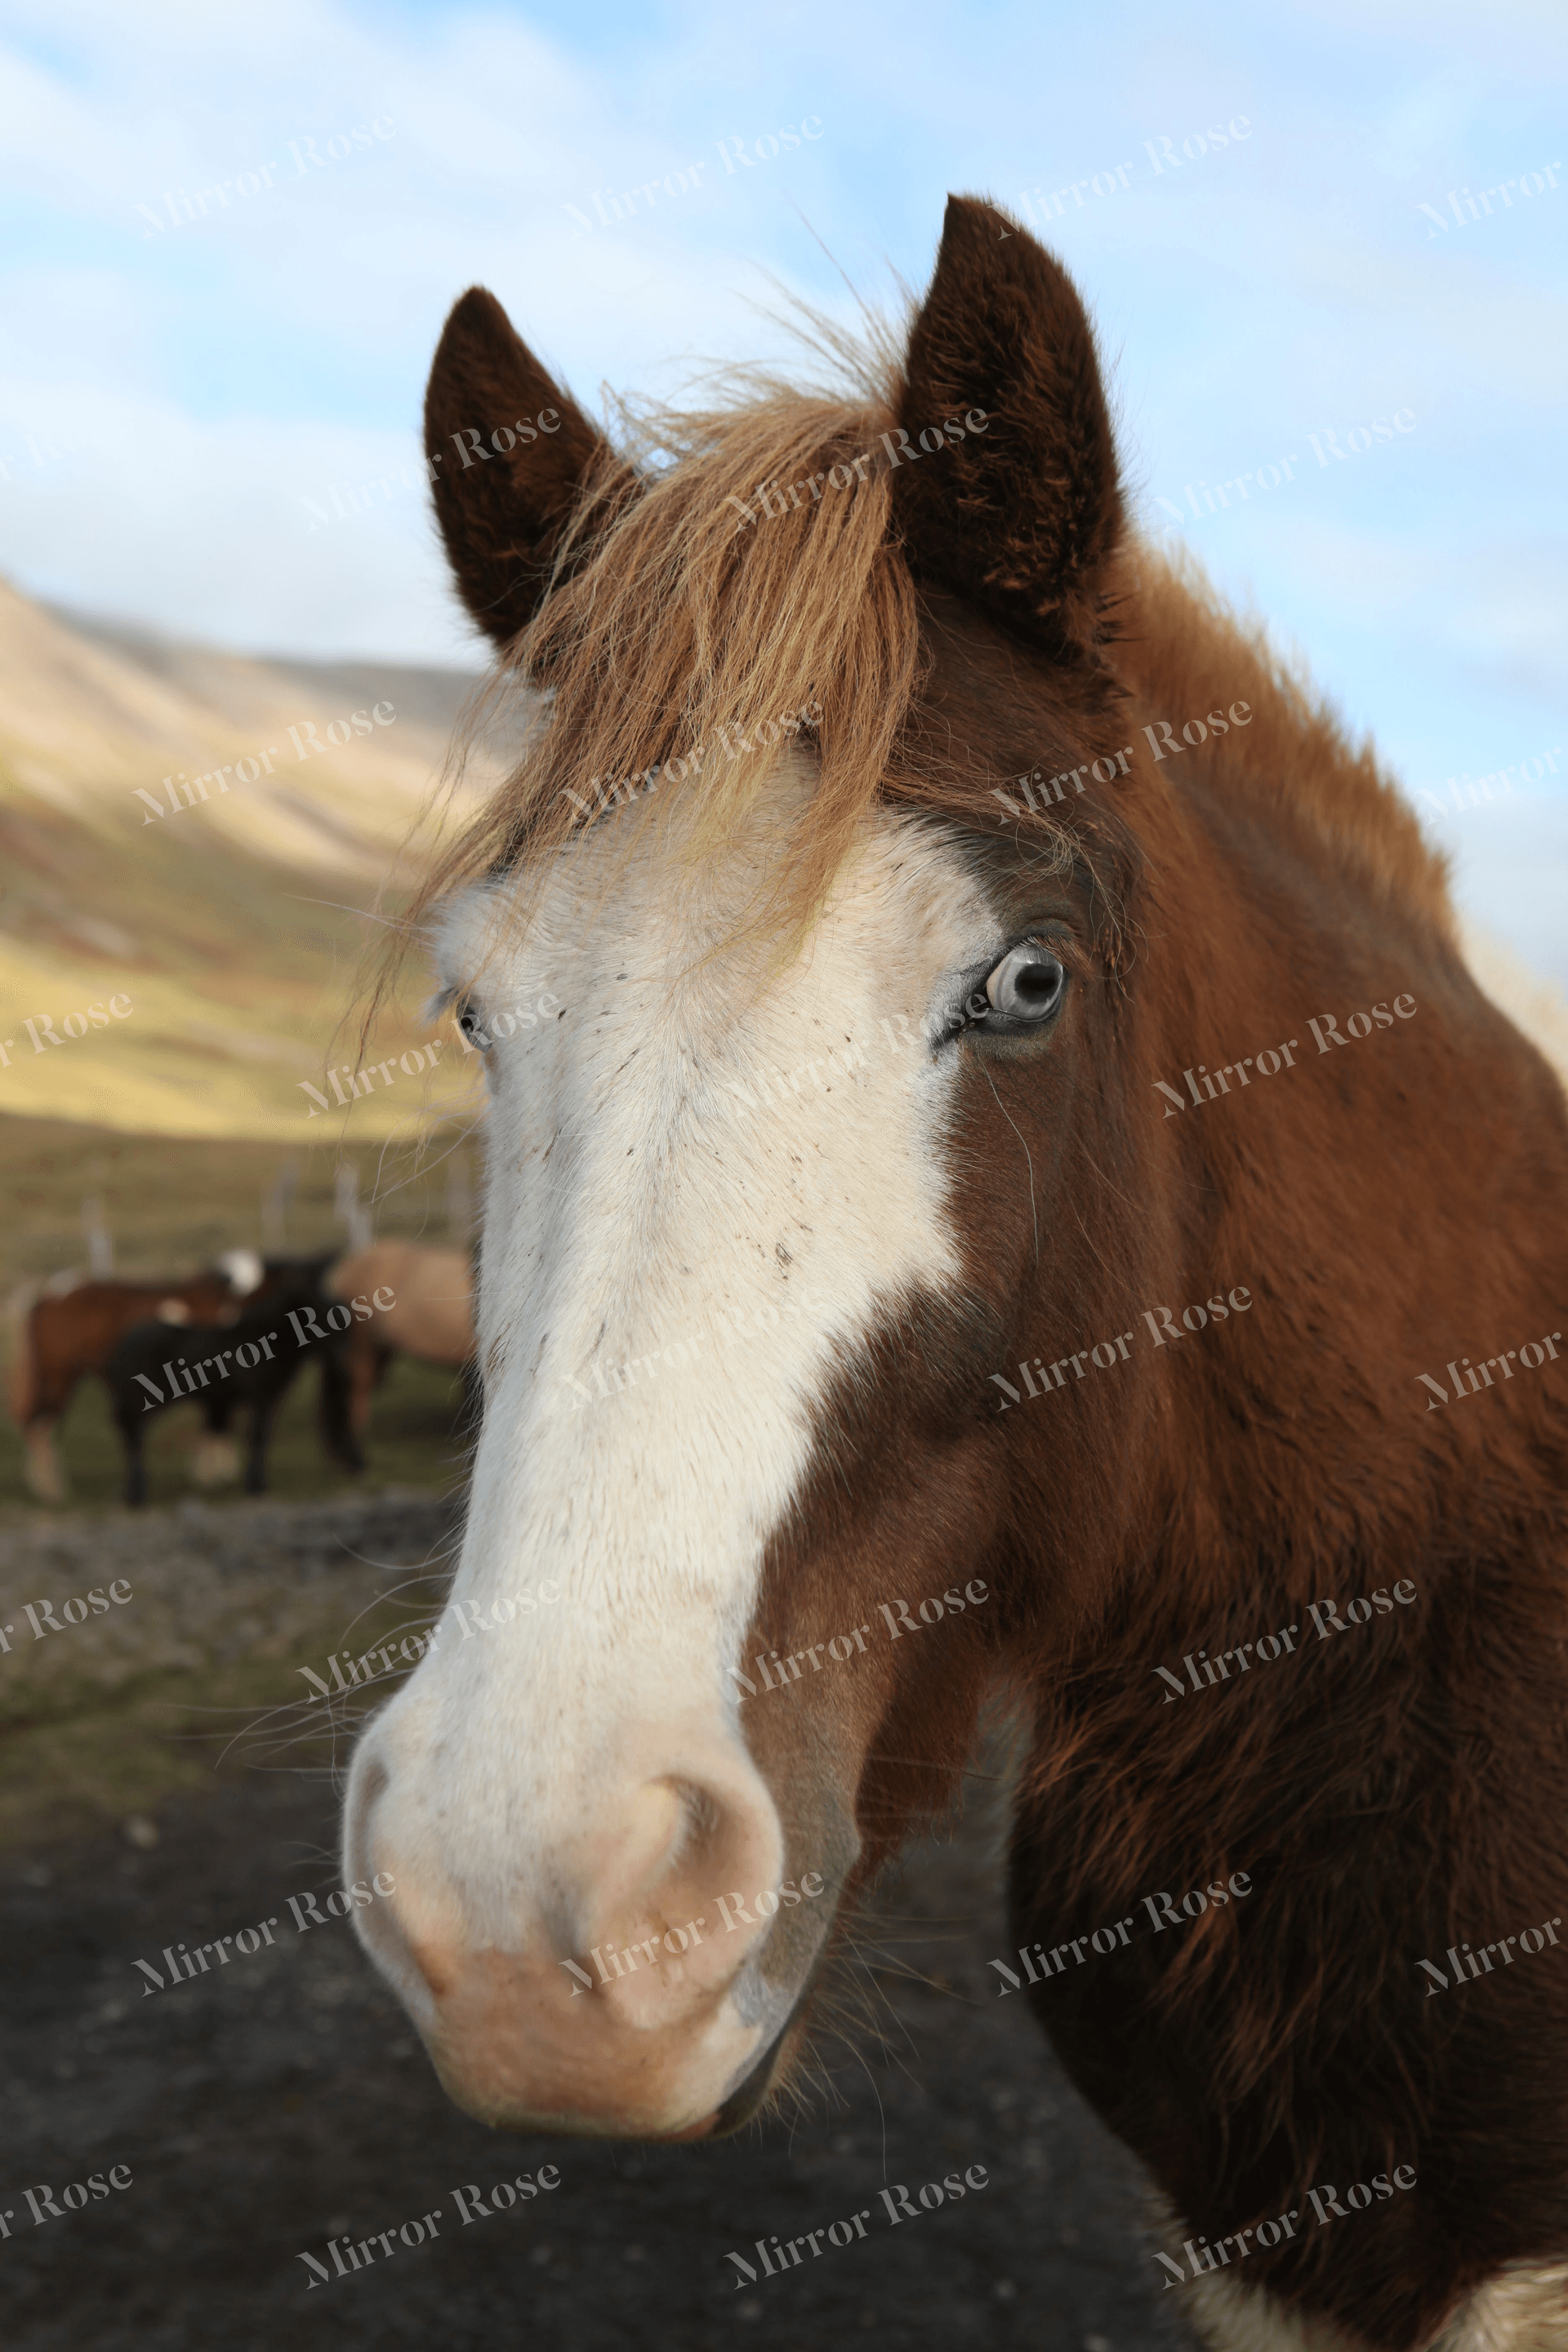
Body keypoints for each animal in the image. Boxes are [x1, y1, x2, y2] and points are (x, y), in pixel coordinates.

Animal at [6, 1249, 264, 1501]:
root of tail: (47, 1294)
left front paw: (218, 1472)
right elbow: (217, 1422)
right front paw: (213, 1474)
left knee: (38, 1425)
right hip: (58, 1377)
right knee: (41, 1424)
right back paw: (51, 1488)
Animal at [103, 1261, 362, 1506]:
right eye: (317, 1314)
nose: (343, 1363)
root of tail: (121, 1346)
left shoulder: (266, 1400)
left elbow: (260, 1437)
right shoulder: (260, 1399)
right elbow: (257, 1437)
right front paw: (256, 1486)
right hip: (139, 1405)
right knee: (135, 1442)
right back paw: (137, 1495)